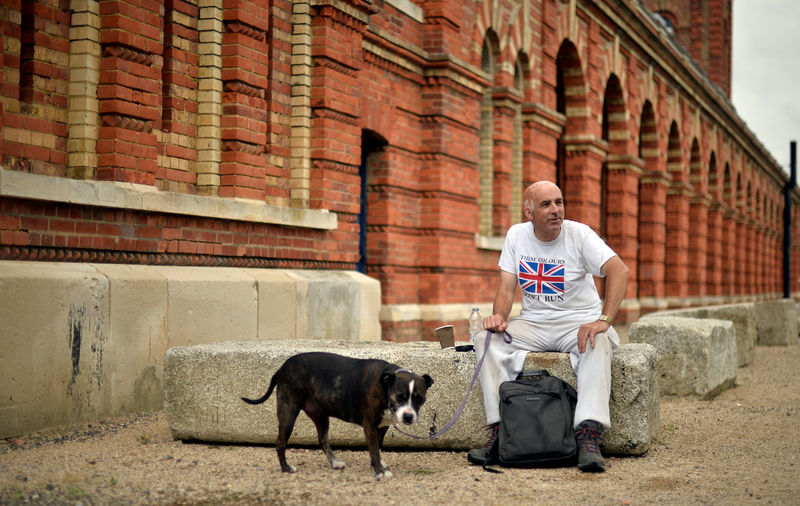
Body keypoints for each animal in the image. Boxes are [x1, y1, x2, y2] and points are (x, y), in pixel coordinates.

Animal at [241, 350, 434, 480]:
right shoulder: (370, 426)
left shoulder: (382, 426)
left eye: (420, 399)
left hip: (321, 416)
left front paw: (378, 464)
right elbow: (373, 449)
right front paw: (379, 470)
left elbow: (377, 448)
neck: (386, 385)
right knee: (280, 442)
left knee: (323, 440)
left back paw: (334, 462)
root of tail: (282, 368)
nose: (408, 416)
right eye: (400, 396)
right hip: (288, 413)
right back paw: (286, 468)